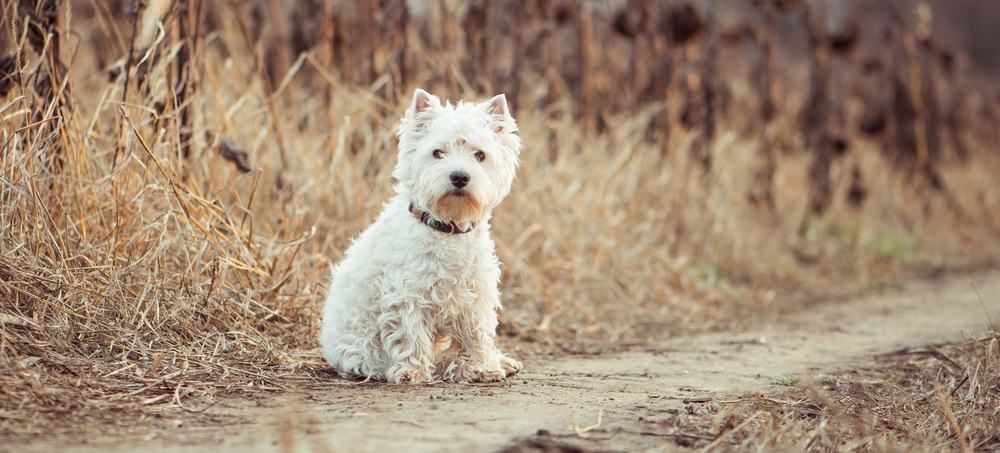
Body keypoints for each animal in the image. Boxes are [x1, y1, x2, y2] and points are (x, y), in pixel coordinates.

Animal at [320, 87, 524, 382]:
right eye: (437, 152)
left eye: (480, 155)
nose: (459, 177)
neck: (448, 227)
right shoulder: (407, 293)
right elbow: (410, 333)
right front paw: (411, 371)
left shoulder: (475, 294)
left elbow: (476, 334)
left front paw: (482, 367)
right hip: (362, 350)